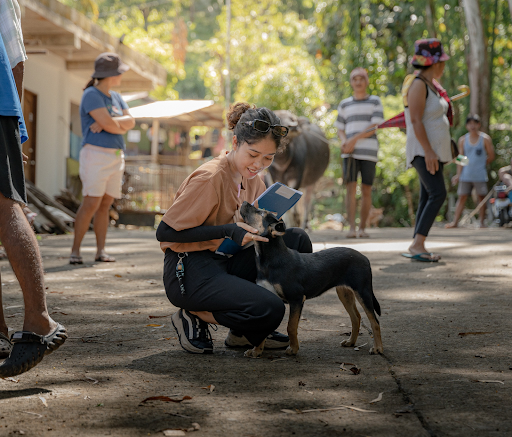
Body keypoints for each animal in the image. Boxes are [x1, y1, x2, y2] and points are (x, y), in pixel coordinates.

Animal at [242, 201, 382, 358]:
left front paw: (293, 349)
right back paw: (351, 342)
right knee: (356, 317)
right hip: (344, 292)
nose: (244, 202)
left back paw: (378, 348)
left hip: (362, 291)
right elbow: (264, 327)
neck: (271, 258)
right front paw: (256, 351)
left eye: (261, 213)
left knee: (374, 321)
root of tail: (365, 258)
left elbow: (291, 326)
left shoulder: (296, 298)